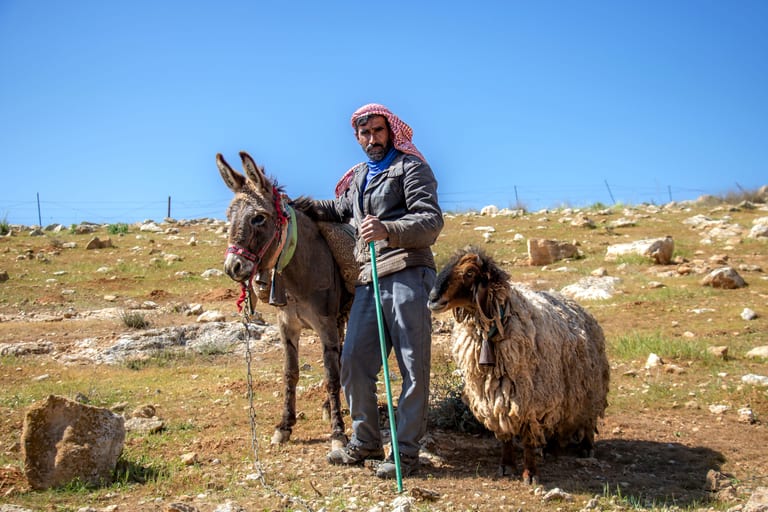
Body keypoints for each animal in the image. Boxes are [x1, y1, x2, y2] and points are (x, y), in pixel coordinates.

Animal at [427, 246, 610, 484]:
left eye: (469, 272)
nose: (432, 299)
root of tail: (578, 306)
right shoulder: (495, 397)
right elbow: (505, 434)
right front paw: (506, 466)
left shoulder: (529, 398)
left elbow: (528, 438)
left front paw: (530, 474)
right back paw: (551, 449)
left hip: (589, 388)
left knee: (588, 417)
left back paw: (586, 448)